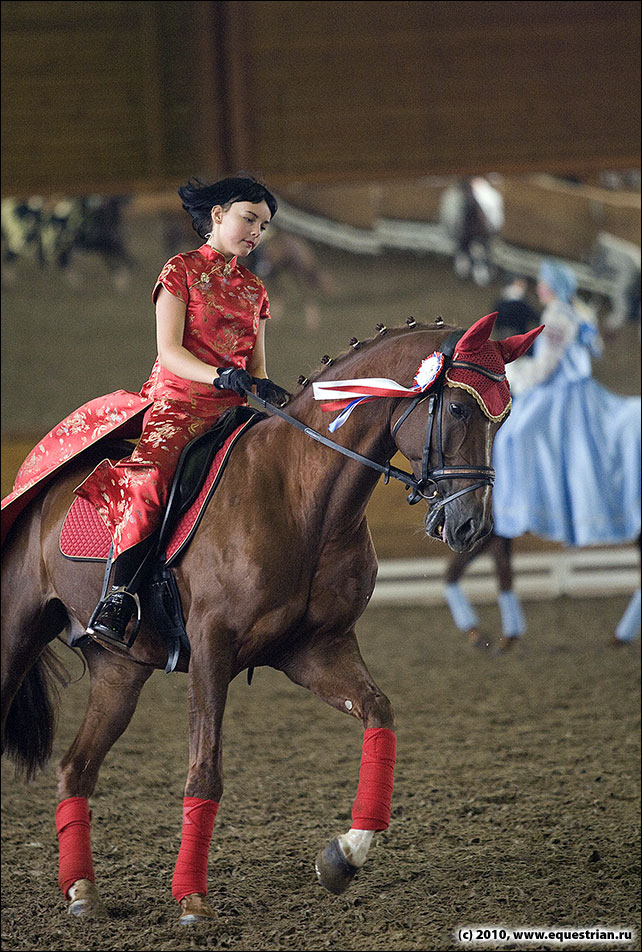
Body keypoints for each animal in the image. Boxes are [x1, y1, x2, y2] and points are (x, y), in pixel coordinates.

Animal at [1, 316, 536, 924]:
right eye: (461, 410)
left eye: (505, 416)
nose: (473, 527)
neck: (302, 497)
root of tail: (40, 490)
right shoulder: (212, 648)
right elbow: (205, 769)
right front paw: (193, 898)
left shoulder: (316, 649)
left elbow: (379, 713)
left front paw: (343, 856)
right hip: (15, 637)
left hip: (120, 671)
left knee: (75, 769)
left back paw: (82, 892)